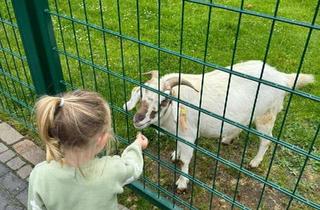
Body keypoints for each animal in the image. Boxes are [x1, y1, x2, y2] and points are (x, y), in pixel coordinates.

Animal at [124, 60, 314, 190]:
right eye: (142, 94)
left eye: (164, 100)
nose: (138, 119)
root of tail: (283, 78)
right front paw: (175, 154)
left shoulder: (189, 135)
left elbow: (185, 160)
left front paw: (182, 183)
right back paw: (228, 138)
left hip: (266, 115)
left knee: (267, 140)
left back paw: (254, 162)